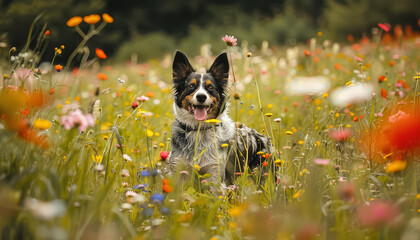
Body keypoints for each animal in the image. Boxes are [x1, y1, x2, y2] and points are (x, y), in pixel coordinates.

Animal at [168, 51, 272, 189]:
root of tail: (263, 137)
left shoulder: (215, 173)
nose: (201, 97)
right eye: (191, 86)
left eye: (210, 87)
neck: (199, 129)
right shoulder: (178, 170)